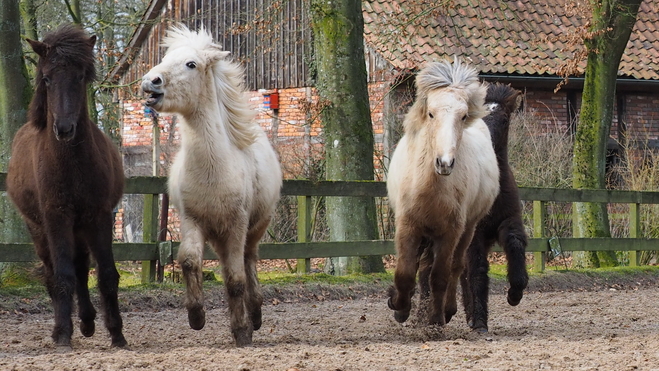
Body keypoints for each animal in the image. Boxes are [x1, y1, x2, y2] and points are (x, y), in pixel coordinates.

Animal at [6, 24, 127, 350]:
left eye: (81, 76)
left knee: (82, 268)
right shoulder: (56, 217)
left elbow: (106, 275)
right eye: (47, 78)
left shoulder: (99, 216)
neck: (71, 164)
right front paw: (62, 334)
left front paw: (117, 334)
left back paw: (87, 321)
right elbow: (62, 276)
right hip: (39, 229)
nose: (64, 129)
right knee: (54, 273)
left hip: (80, 227)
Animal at [142, 24, 282, 348]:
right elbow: (189, 261)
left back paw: (256, 314)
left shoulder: (236, 225)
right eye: (165, 58)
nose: (150, 82)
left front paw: (242, 330)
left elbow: (235, 280)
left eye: (191, 64)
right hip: (218, 236)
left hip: (254, 228)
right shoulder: (192, 221)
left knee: (248, 261)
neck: (214, 170)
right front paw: (196, 316)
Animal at [386, 59, 500, 326]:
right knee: (422, 267)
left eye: (463, 116)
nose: (445, 163)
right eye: (431, 113)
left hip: (468, 228)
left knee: (455, 267)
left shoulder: (450, 232)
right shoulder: (407, 226)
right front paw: (399, 307)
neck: (430, 188)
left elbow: (440, 275)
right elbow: (405, 272)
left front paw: (436, 319)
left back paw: (445, 310)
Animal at [458, 83, 532, 334]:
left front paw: (515, 293)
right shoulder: (475, 234)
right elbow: (478, 271)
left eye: (505, 119)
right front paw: (480, 321)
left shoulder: (509, 220)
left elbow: (515, 244)